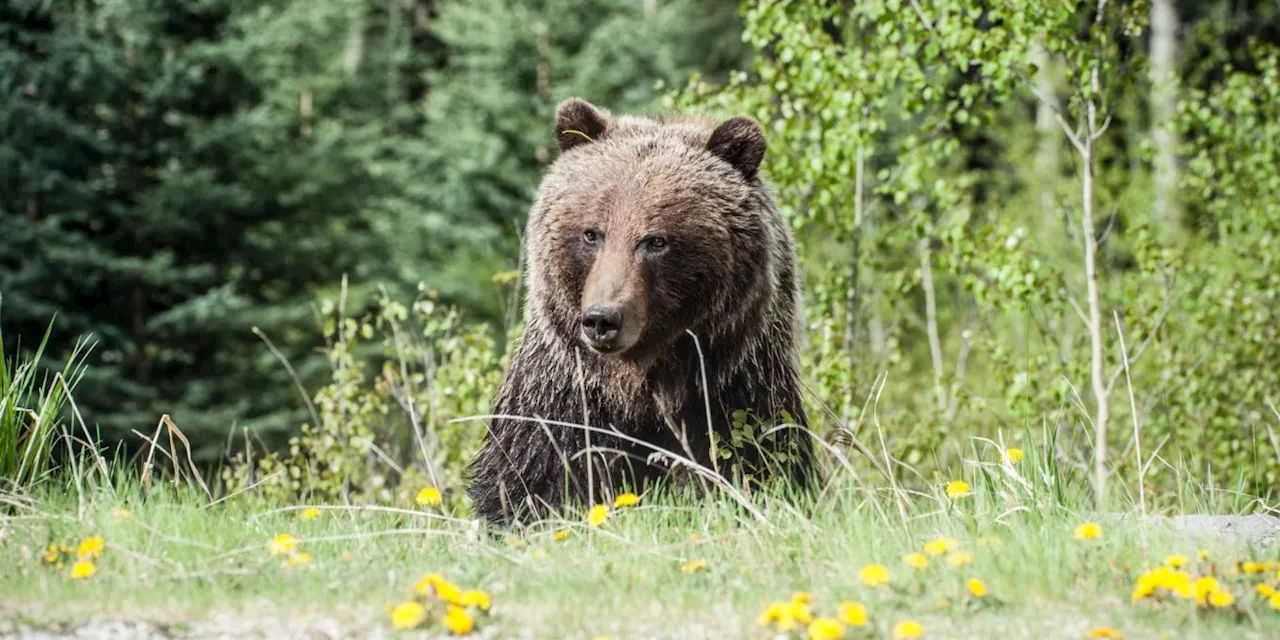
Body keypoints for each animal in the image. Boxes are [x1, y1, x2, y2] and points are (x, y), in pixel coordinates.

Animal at [465, 96, 814, 524]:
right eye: (592, 233)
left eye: (656, 240)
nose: (602, 319)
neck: (640, 385)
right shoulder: (564, 397)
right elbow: (532, 478)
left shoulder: (733, 390)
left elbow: (756, 463)